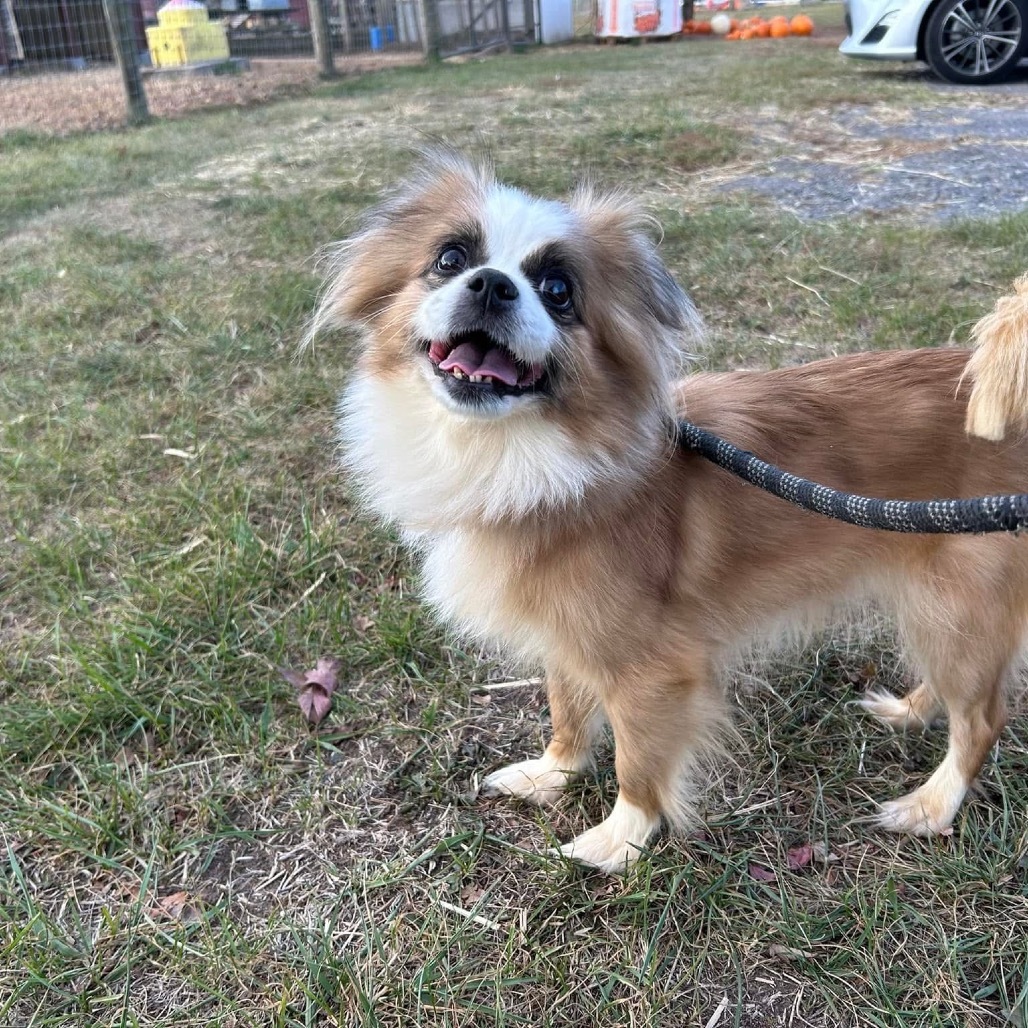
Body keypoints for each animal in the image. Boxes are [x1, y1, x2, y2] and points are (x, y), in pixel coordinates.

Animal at [310, 154, 1028, 875]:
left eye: (558, 290)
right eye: (450, 258)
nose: (491, 285)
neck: (524, 456)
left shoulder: (650, 670)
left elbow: (638, 761)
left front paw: (620, 840)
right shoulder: (568, 635)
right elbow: (566, 710)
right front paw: (553, 774)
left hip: (956, 600)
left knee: (982, 717)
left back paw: (930, 806)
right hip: (932, 602)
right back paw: (910, 710)